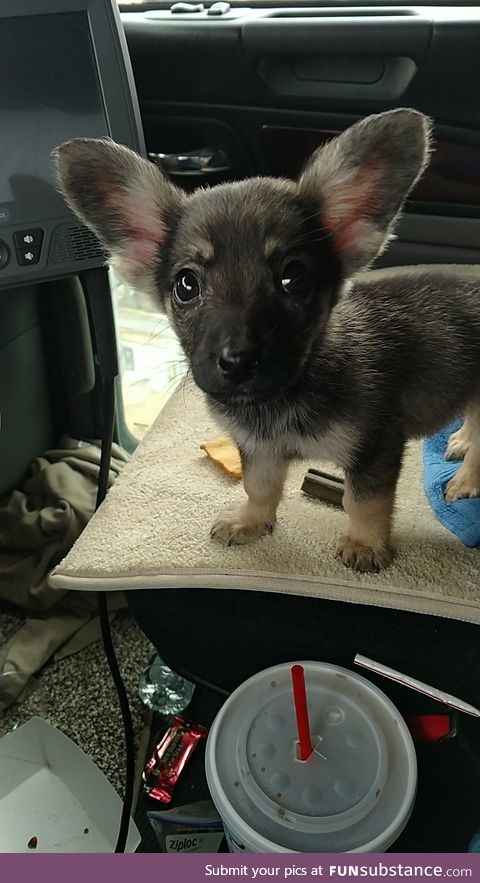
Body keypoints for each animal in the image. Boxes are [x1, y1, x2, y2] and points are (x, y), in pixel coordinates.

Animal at [54, 110, 480, 572]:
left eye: (294, 278)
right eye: (186, 285)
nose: (237, 362)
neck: (281, 400)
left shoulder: (374, 447)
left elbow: (362, 501)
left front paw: (365, 544)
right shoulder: (258, 449)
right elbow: (259, 487)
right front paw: (252, 523)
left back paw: (467, 478)